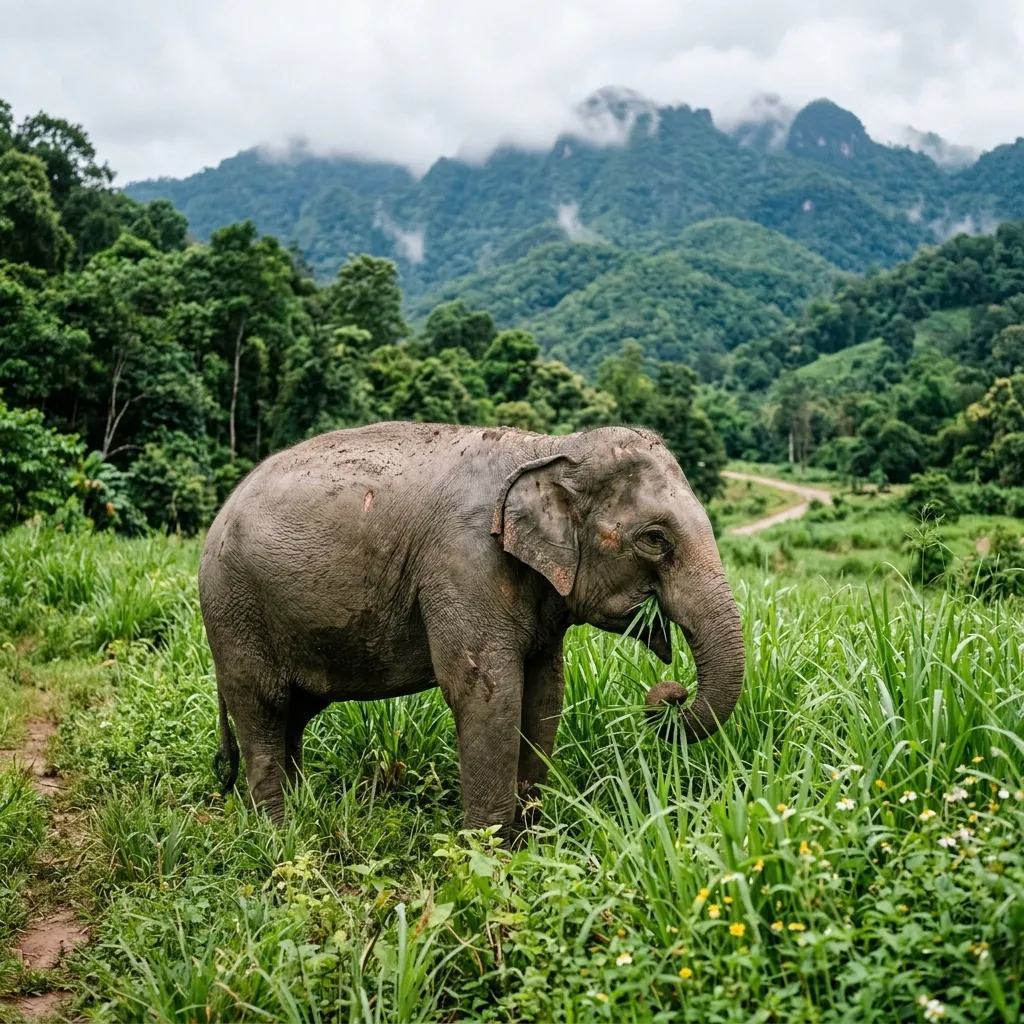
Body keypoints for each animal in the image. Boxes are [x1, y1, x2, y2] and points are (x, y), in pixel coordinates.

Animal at [198, 421, 745, 835]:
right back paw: (279, 835)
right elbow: (487, 692)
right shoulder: (463, 563)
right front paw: (488, 855)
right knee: (262, 708)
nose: (669, 695)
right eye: (654, 539)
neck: (549, 448)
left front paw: (529, 841)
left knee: (293, 714)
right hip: (235, 612)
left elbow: (544, 692)